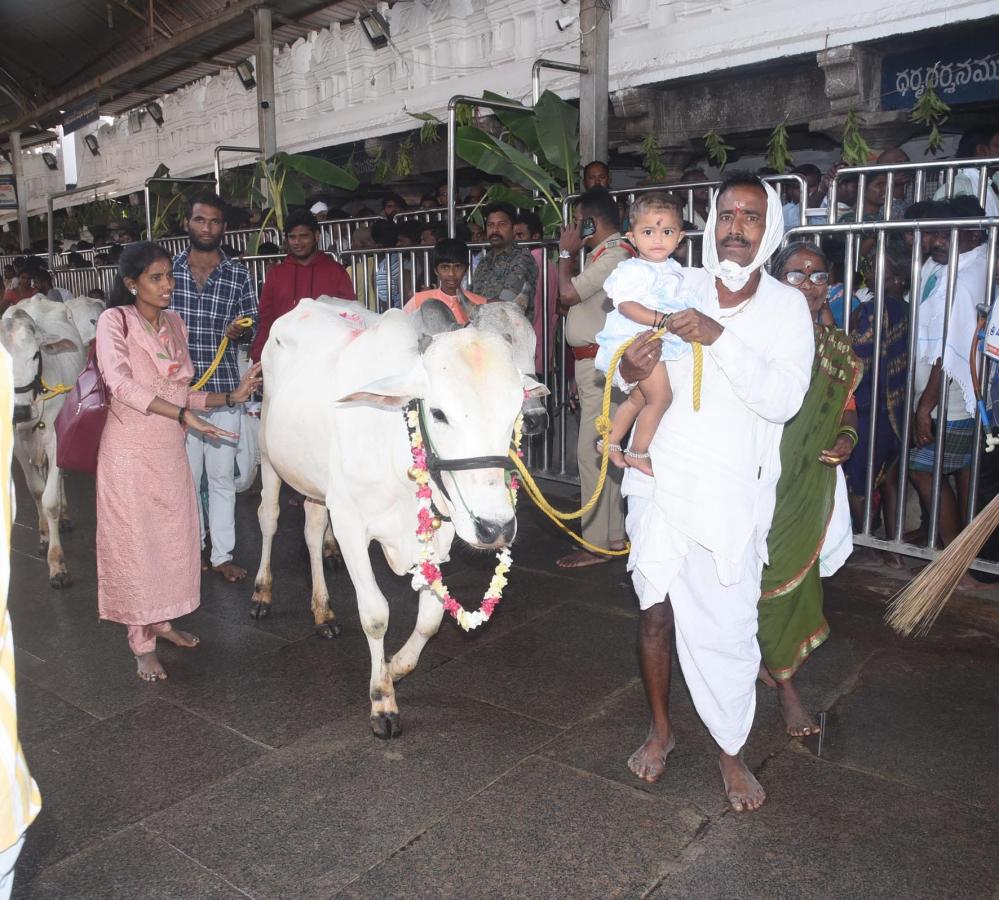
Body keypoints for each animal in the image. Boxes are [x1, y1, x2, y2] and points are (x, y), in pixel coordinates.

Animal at [0, 298, 88, 588]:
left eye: (35, 355)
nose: (19, 412)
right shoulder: (17, 442)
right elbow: (36, 490)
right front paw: (44, 535)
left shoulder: (56, 437)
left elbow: (50, 499)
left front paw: (57, 565)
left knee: (57, 478)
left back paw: (65, 515)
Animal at [250, 298, 548, 736]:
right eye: (438, 413)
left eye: (514, 415)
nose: (496, 527)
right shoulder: (351, 526)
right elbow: (376, 614)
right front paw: (382, 701)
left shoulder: (436, 536)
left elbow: (431, 618)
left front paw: (395, 667)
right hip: (270, 456)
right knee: (269, 519)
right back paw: (262, 593)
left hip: (317, 481)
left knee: (312, 528)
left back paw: (323, 612)